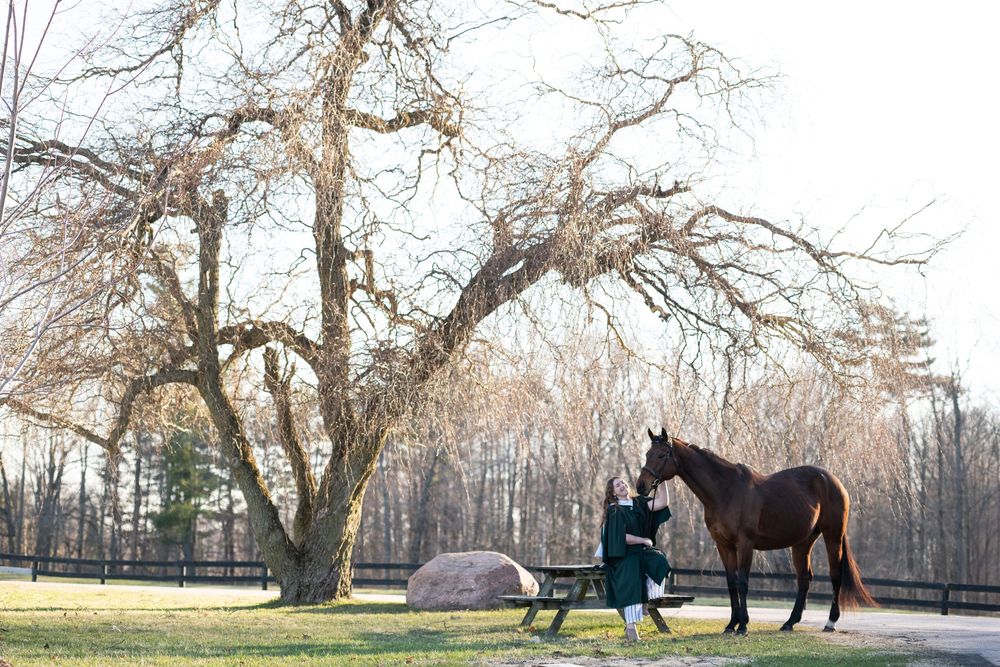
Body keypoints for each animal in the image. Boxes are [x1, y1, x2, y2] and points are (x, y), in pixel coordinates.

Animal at [636, 428, 877, 636]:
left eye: (662, 455)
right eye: (647, 453)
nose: (641, 486)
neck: (725, 491)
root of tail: (835, 482)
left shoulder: (745, 544)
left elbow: (742, 581)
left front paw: (743, 625)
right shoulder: (723, 545)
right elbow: (731, 583)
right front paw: (731, 625)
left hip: (832, 536)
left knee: (835, 576)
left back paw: (830, 622)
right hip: (803, 542)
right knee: (804, 578)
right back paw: (789, 623)